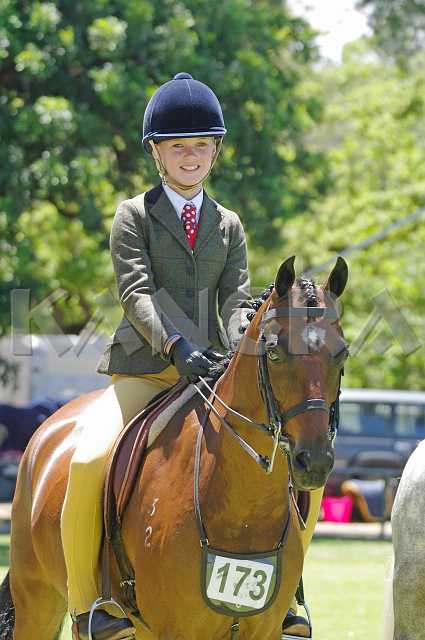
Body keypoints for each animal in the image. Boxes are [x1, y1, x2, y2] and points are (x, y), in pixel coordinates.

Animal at [0, 255, 349, 640]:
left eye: (342, 354)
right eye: (273, 353)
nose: (313, 461)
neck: (243, 509)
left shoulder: (263, 630)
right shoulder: (171, 629)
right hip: (37, 601)